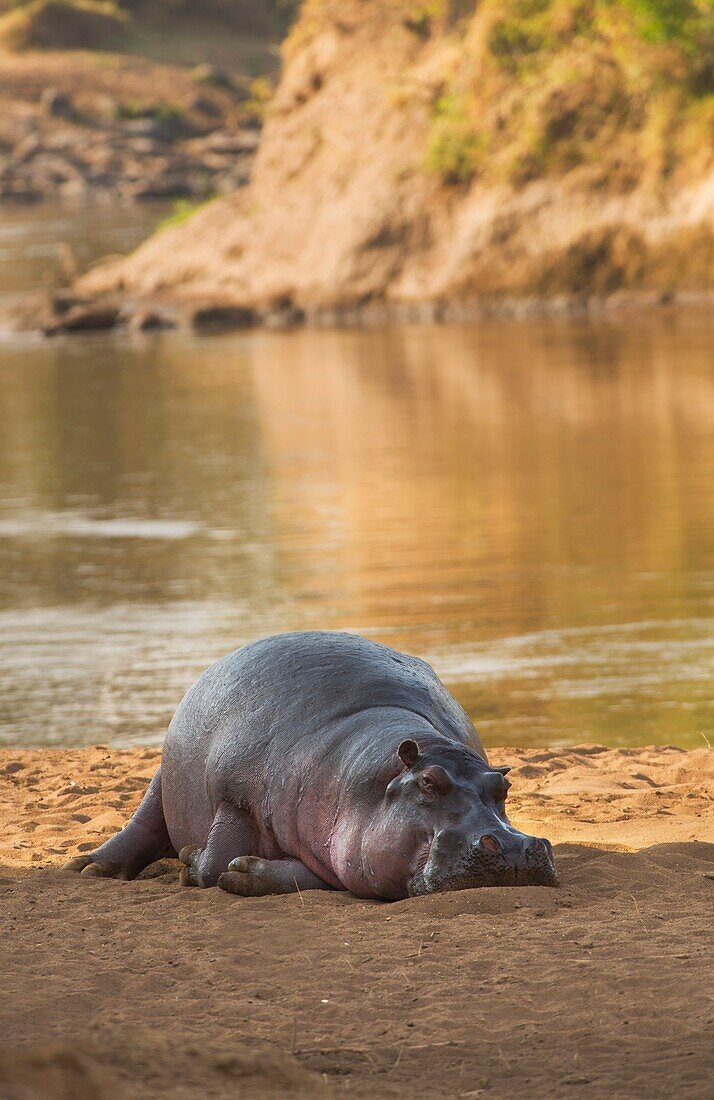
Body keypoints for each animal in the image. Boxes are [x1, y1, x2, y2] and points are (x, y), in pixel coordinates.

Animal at [68, 633, 556, 897]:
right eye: (429, 783)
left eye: (503, 789)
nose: (513, 846)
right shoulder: (233, 795)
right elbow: (210, 867)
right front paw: (193, 862)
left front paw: (246, 872)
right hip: (163, 778)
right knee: (144, 822)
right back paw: (88, 868)